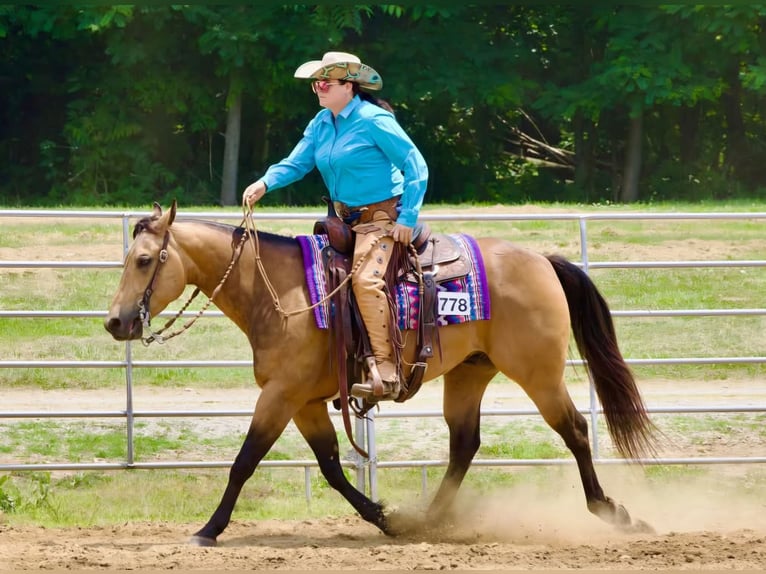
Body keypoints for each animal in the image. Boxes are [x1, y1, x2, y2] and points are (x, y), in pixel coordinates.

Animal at [104, 201, 657, 546]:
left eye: (146, 260)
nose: (115, 322)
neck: (278, 291)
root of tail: (541, 260)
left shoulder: (280, 396)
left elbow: (244, 462)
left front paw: (208, 530)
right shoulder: (303, 401)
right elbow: (330, 465)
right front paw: (386, 518)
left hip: (539, 373)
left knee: (575, 430)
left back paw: (614, 512)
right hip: (470, 373)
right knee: (465, 443)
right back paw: (430, 520)